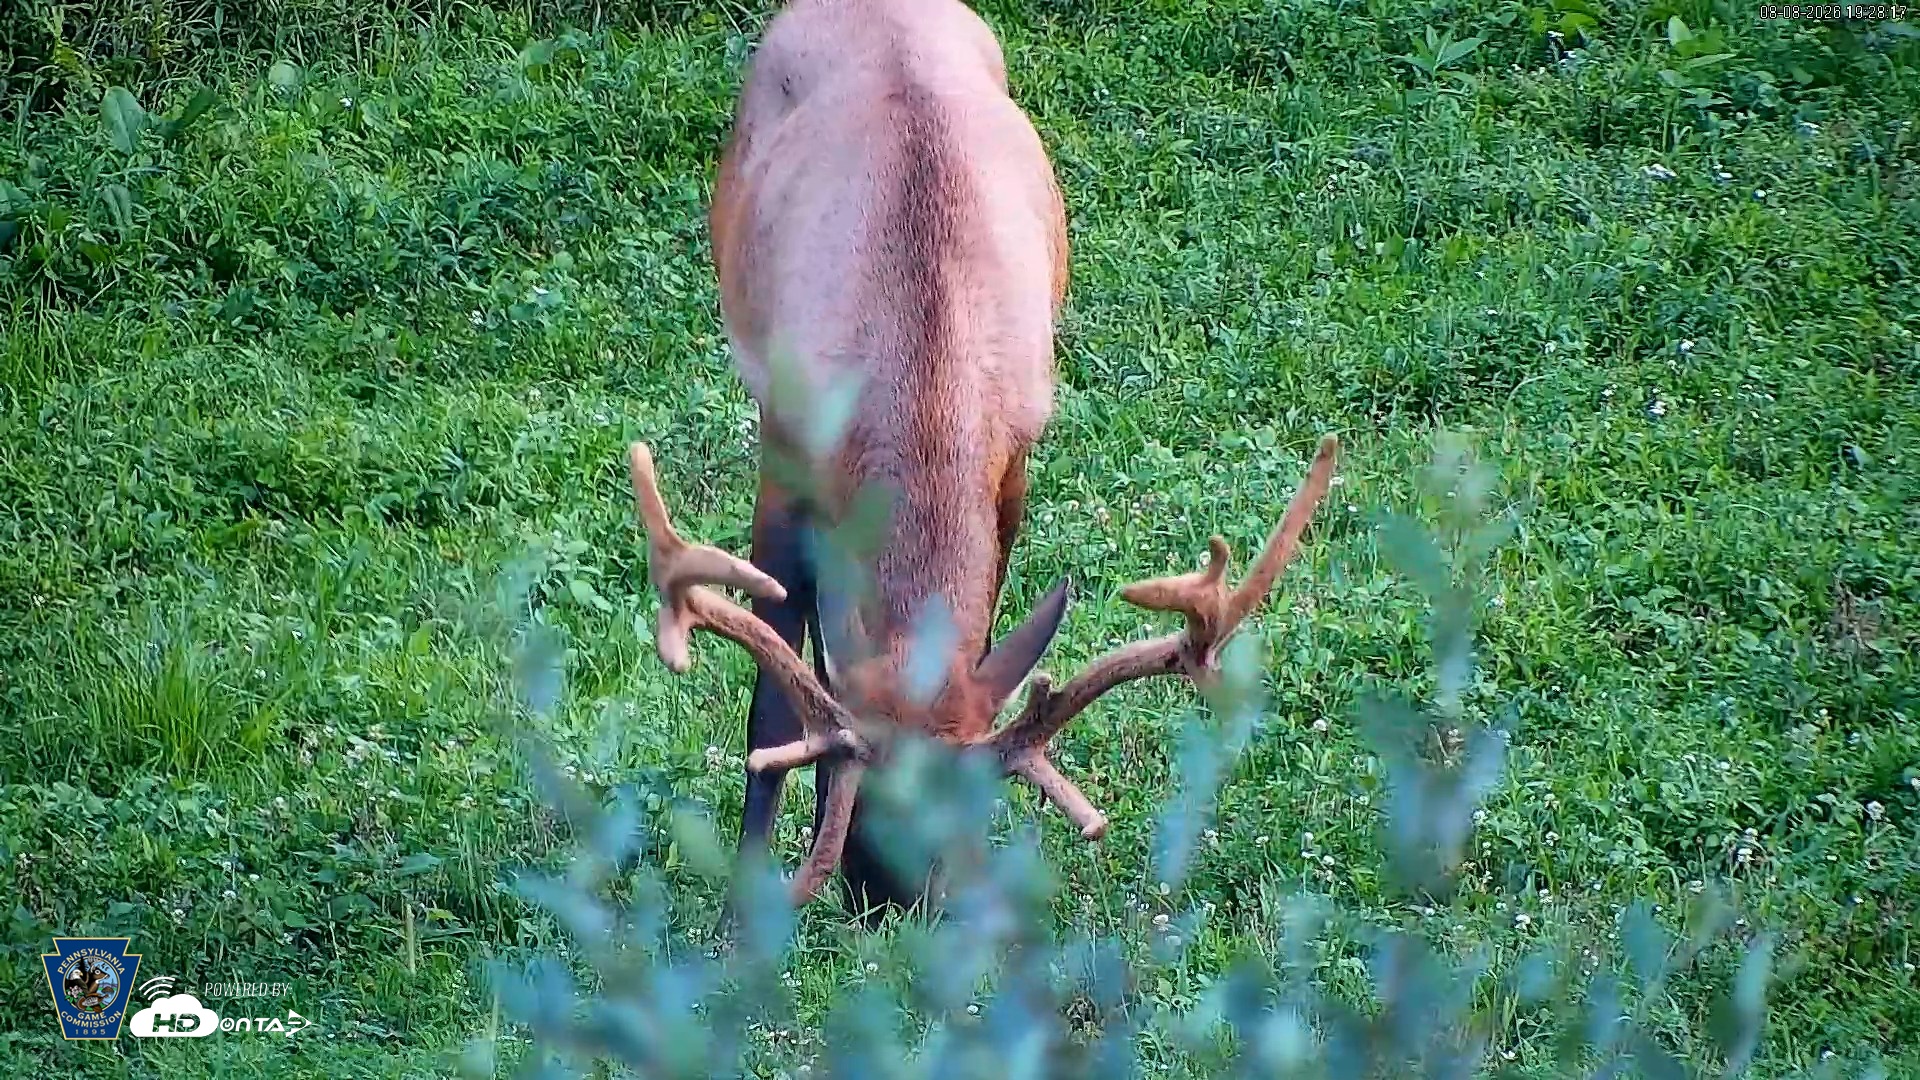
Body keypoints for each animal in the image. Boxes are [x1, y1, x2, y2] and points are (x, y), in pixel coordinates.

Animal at [625, 0, 1339, 913]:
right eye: (877, 799)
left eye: (965, 801)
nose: (885, 898)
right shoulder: (783, 446)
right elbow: (773, 705)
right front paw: (749, 903)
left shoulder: (1016, 456)